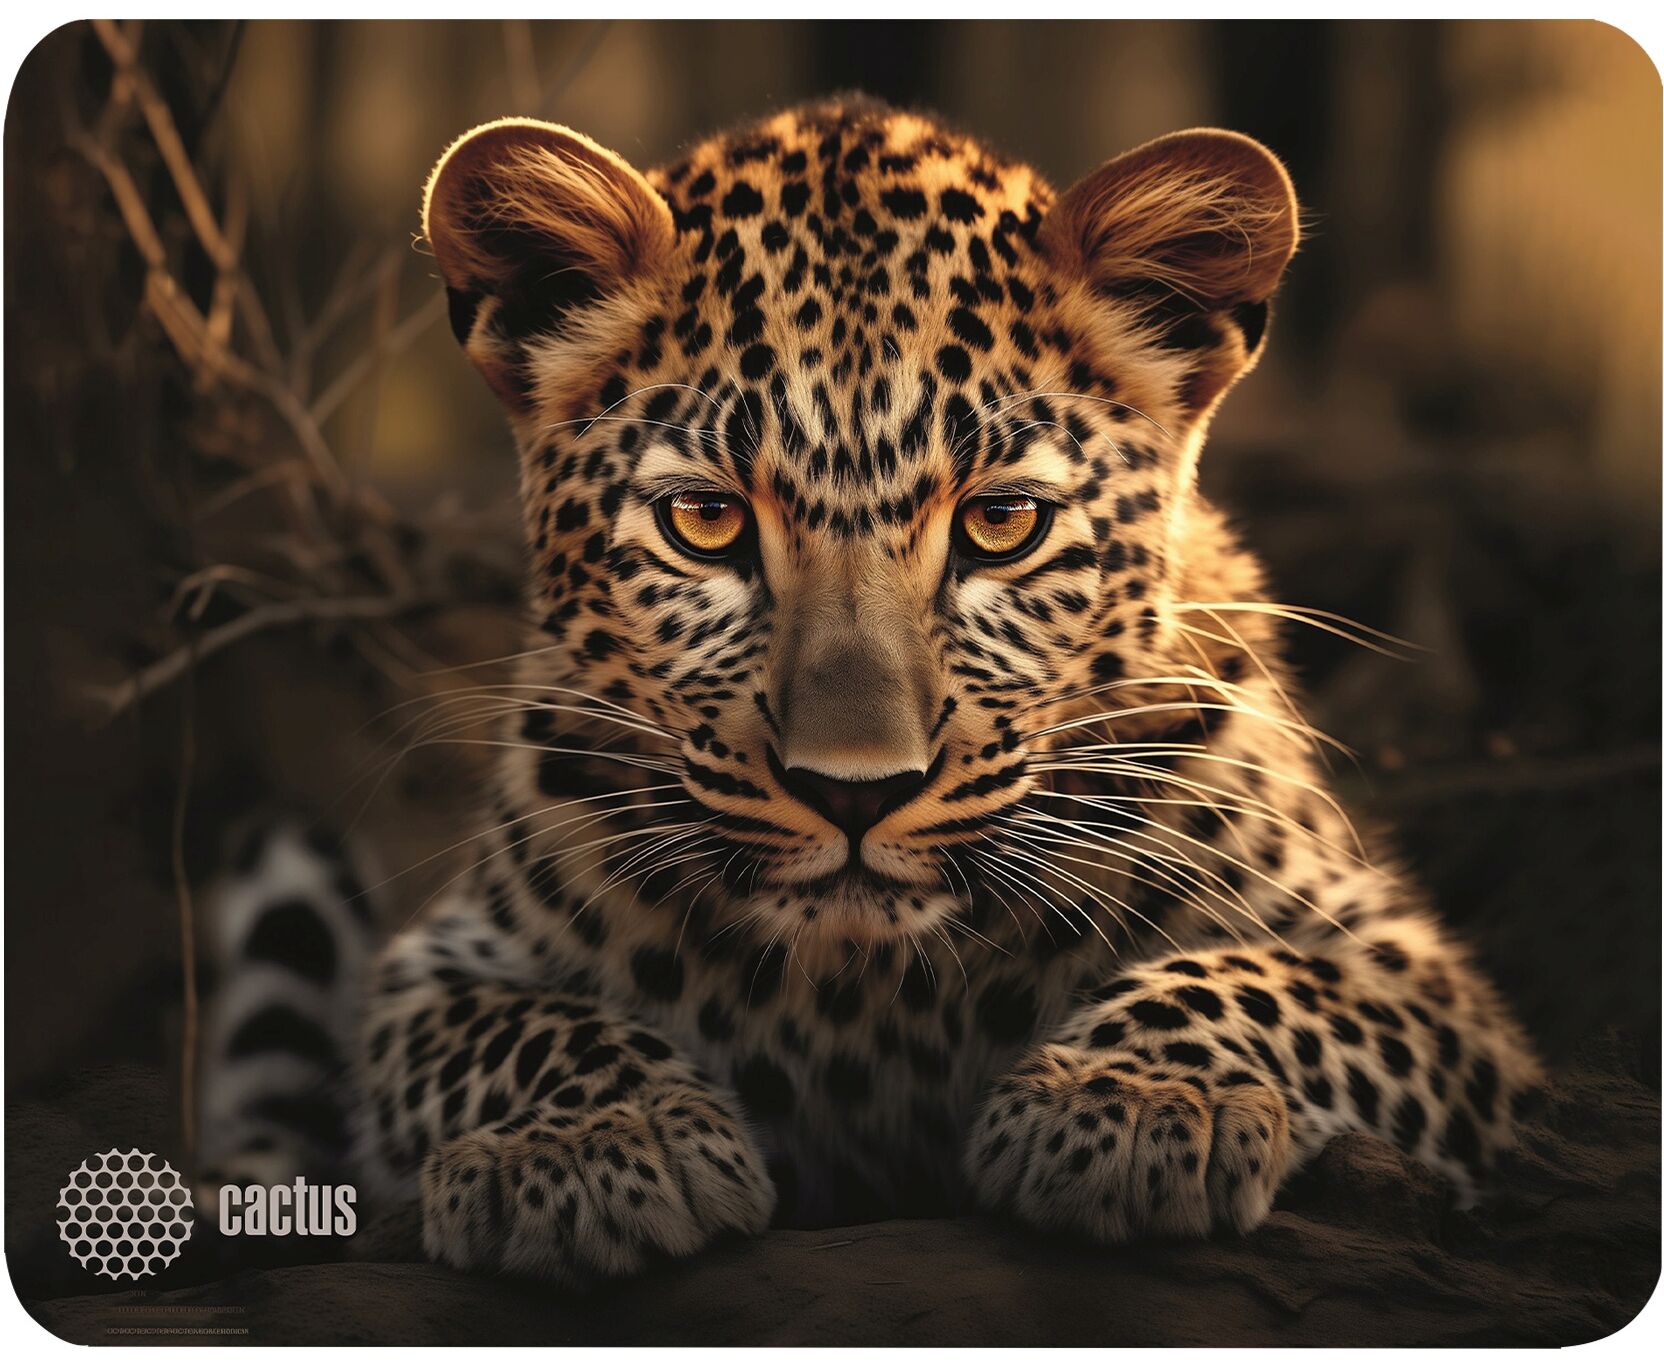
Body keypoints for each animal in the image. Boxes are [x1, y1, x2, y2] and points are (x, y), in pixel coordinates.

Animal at [198, 97, 1541, 1286]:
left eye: (1001, 524)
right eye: (704, 522)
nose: (855, 794)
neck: (870, 987)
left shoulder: (1417, 981)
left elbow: (1253, 981)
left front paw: (1129, 1101)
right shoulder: (439, 970)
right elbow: (518, 1029)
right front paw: (591, 1147)